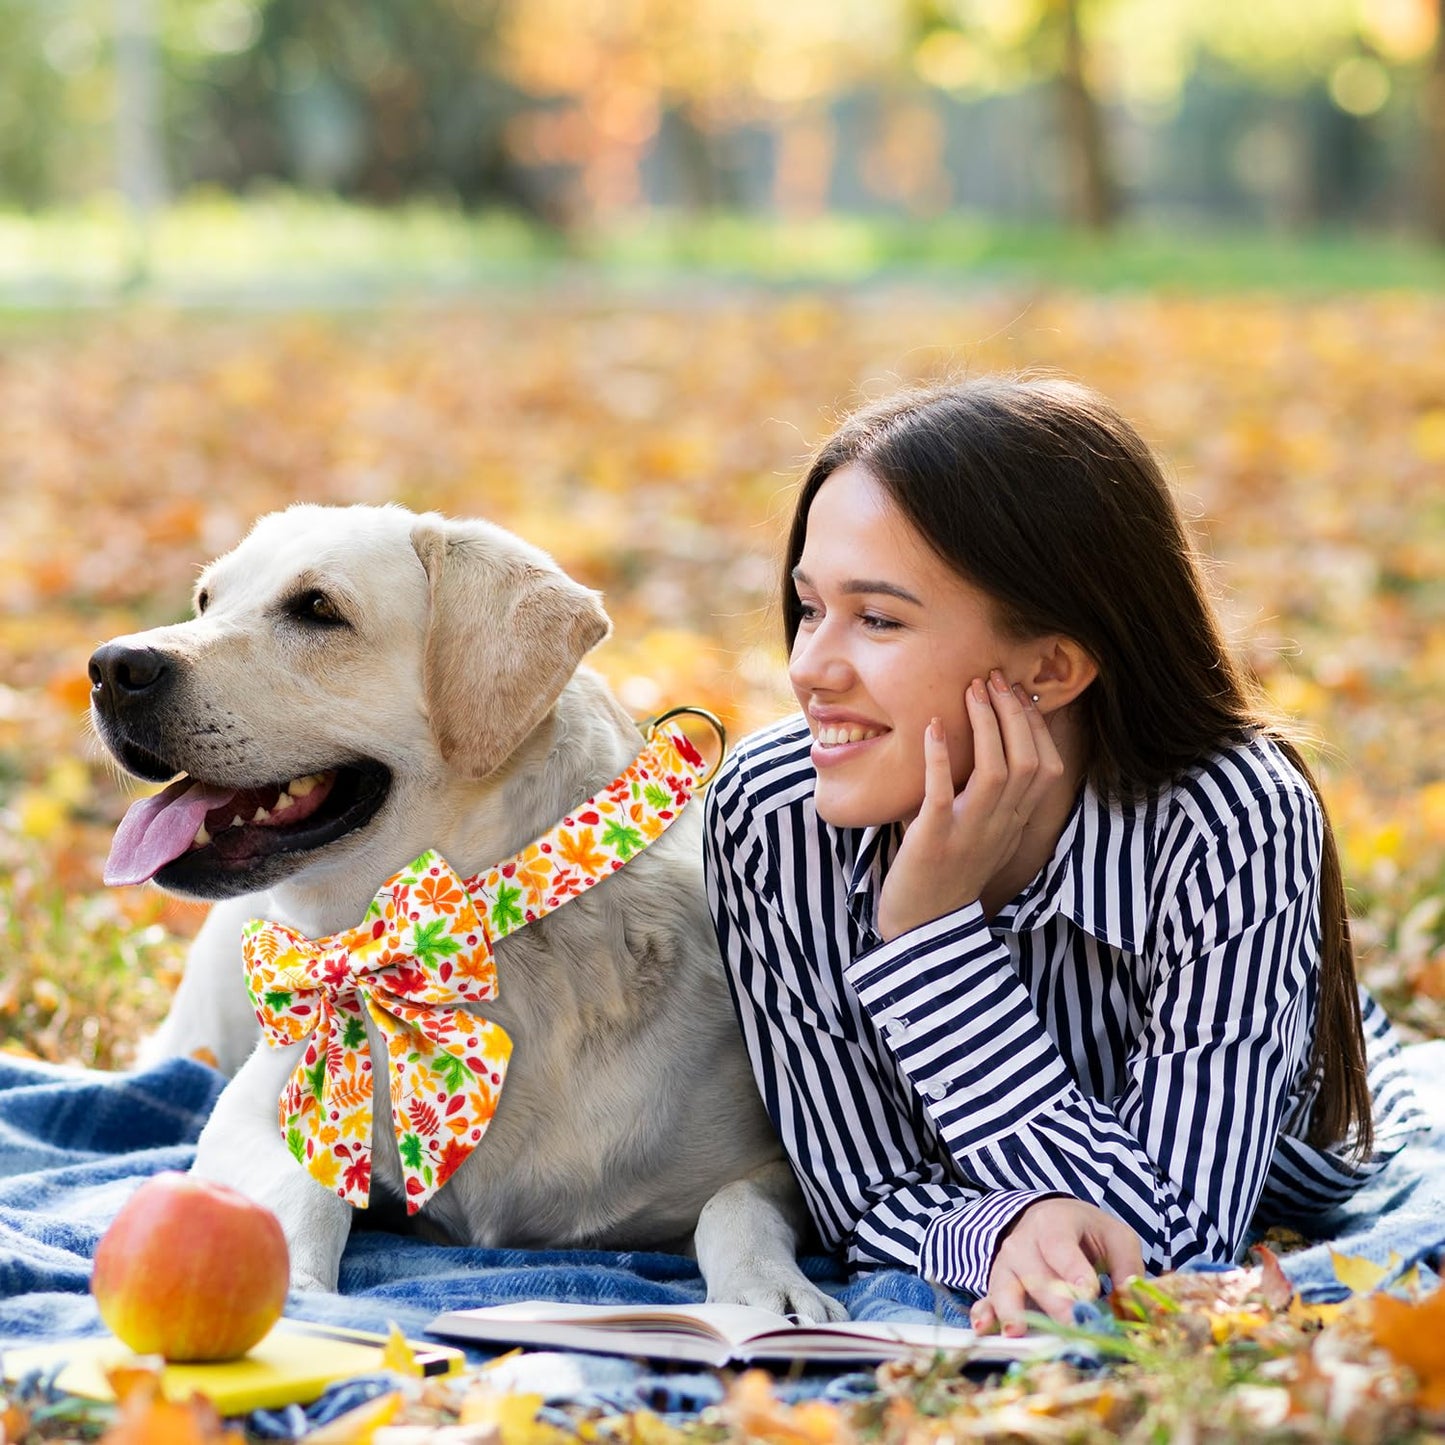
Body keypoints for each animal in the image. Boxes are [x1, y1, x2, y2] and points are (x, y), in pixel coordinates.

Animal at [90, 499, 843, 1323]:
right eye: (205, 601)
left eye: (317, 609)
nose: (111, 667)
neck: (457, 949)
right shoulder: (251, 1106)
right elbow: (305, 1184)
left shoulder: (782, 1165)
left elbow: (734, 1207)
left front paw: (767, 1290)